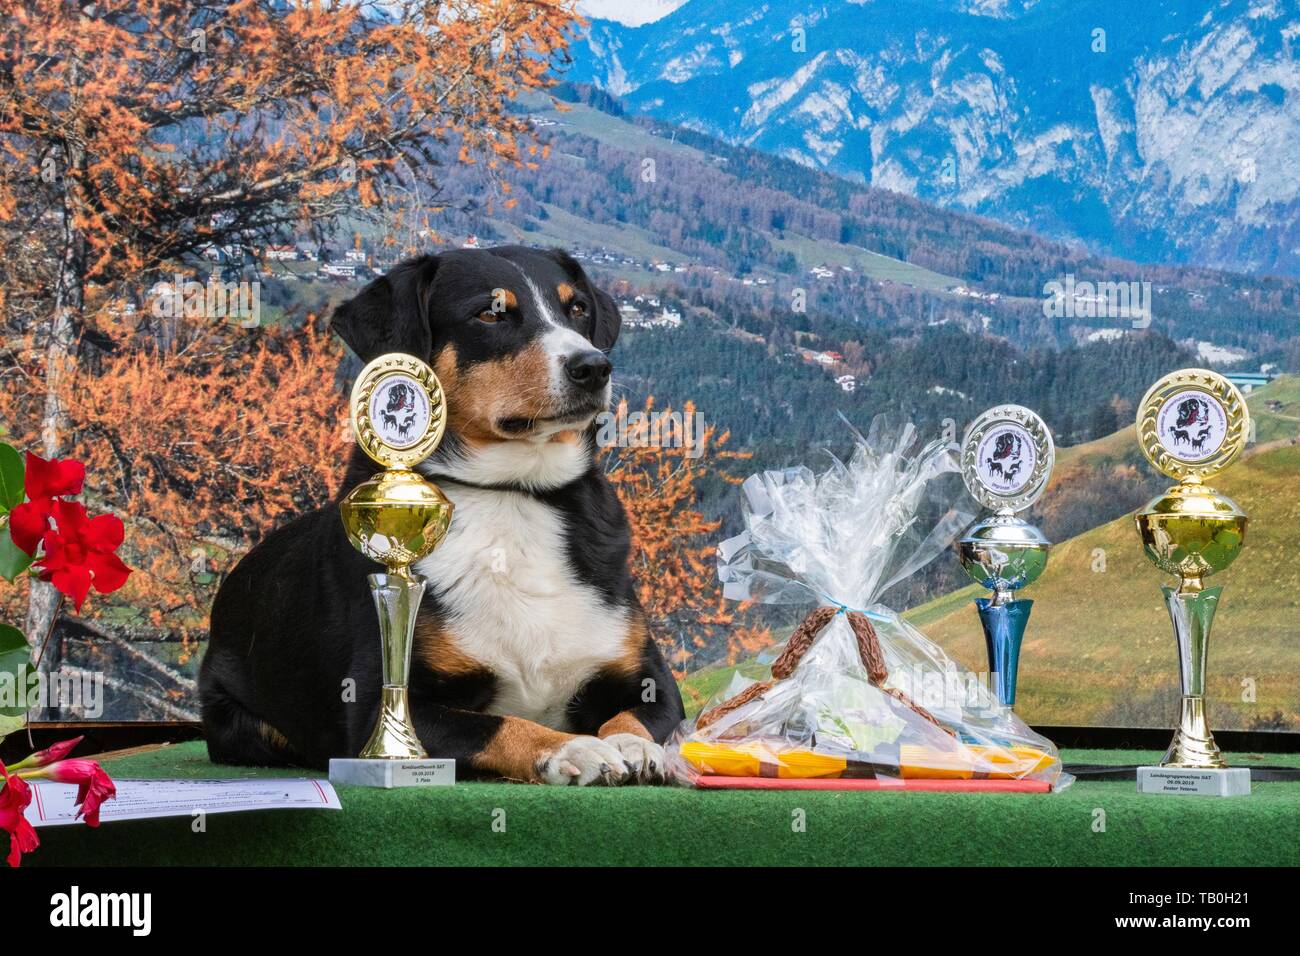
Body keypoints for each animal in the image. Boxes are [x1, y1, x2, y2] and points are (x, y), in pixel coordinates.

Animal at [197, 244, 686, 785]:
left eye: (576, 308)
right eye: (490, 313)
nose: (593, 366)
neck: (512, 494)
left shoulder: (650, 678)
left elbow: (635, 716)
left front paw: (633, 746)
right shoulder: (379, 708)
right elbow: (504, 725)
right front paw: (571, 748)